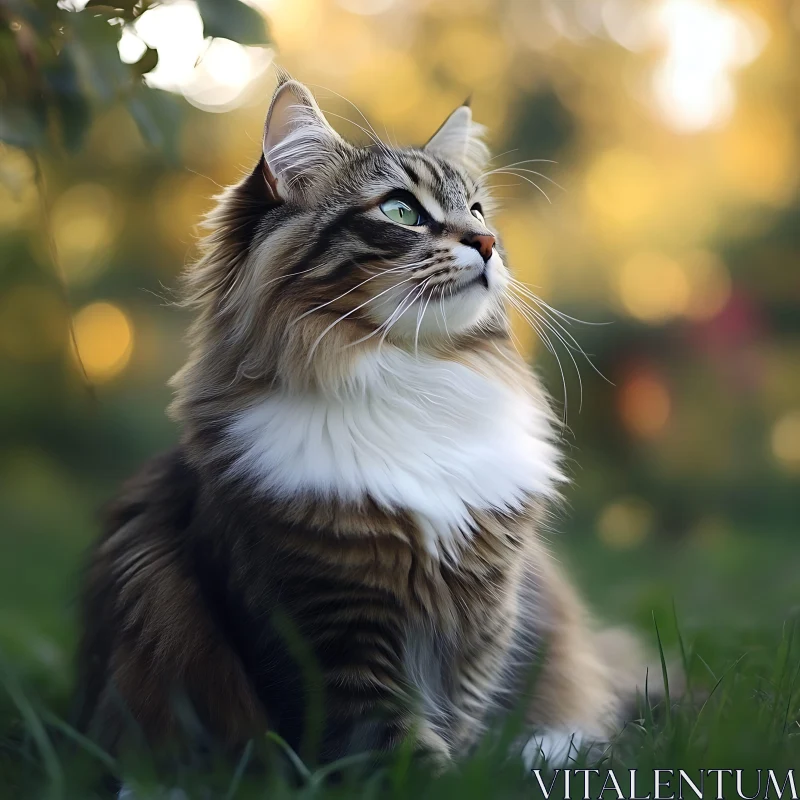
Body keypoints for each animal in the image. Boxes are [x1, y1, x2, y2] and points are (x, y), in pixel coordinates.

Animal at [73, 72, 648, 772]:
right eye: (401, 210)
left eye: (478, 213)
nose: (486, 244)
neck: (411, 375)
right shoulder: (329, 629)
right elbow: (393, 750)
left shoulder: (481, 625)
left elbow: (460, 728)